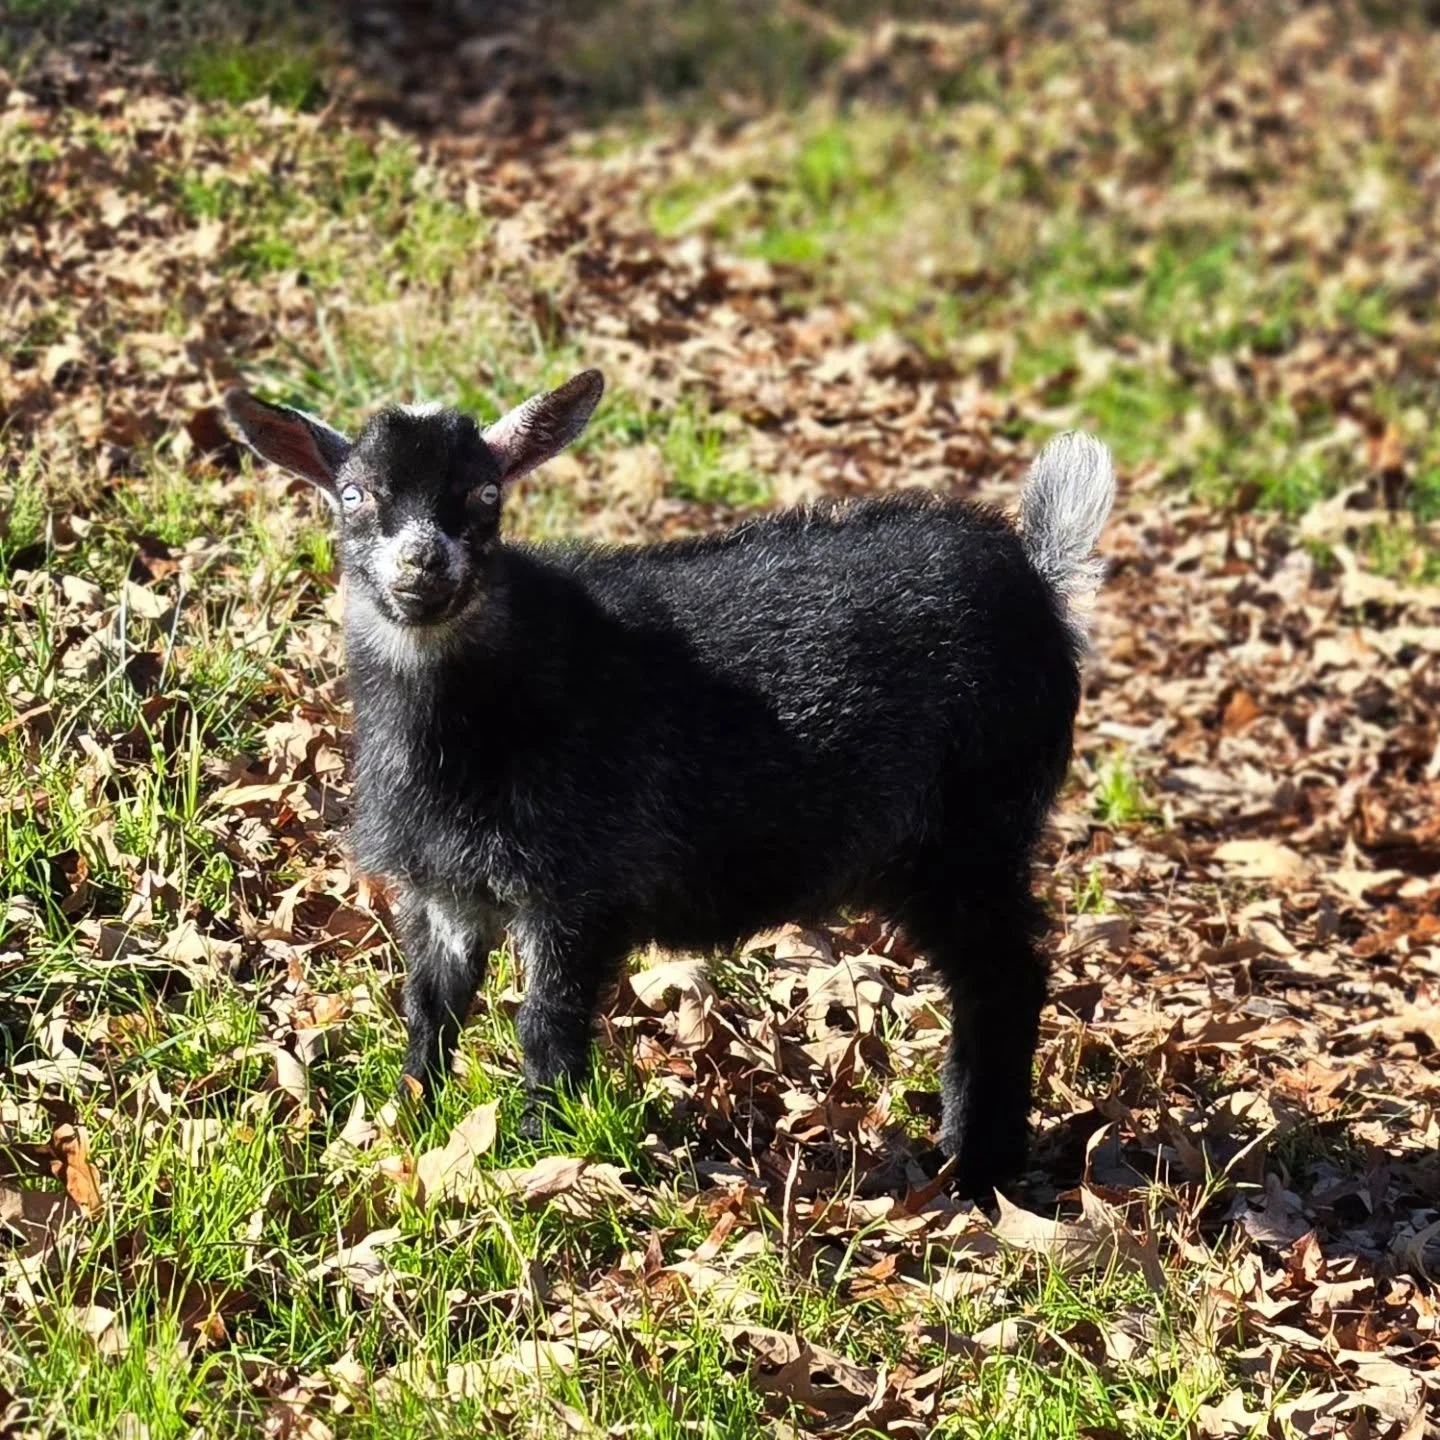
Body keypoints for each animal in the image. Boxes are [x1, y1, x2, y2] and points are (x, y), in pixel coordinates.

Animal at [224, 370, 1113, 1195]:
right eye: (353, 494)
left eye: (485, 493)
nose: (422, 564)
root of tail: (1041, 577)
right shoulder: (442, 890)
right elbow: (427, 1014)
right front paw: (405, 1124)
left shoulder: (577, 886)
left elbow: (547, 1027)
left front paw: (536, 1149)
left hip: (972, 830)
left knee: (1004, 977)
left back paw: (974, 1165)